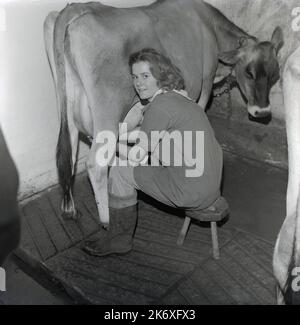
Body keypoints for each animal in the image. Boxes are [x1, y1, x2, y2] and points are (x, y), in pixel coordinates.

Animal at [43, 0, 282, 227]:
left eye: (275, 74)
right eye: (249, 73)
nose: (262, 111)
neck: (211, 27)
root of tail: (75, 10)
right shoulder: (204, 85)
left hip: (66, 105)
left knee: (68, 150)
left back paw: (70, 210)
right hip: (107, 113)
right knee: (96, 165)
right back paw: (106, 221)